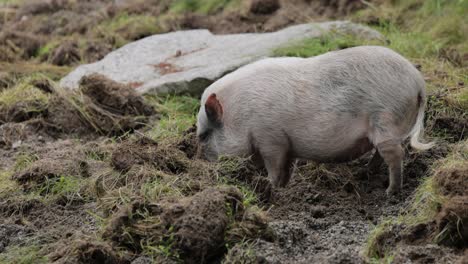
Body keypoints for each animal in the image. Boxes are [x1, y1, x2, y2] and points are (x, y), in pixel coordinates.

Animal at [196, 44, 434, 194]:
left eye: (203, 135)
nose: (203, 162)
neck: (239, 115)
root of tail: (418, 82)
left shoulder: (270, 138)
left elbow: (274, 167)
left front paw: (271, 188)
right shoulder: (286, 143)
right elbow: (287, 168)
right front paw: (284, 188)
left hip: (385, 120)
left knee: (395, 154)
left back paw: (390, 192)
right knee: (381, 153)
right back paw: (364, 173)